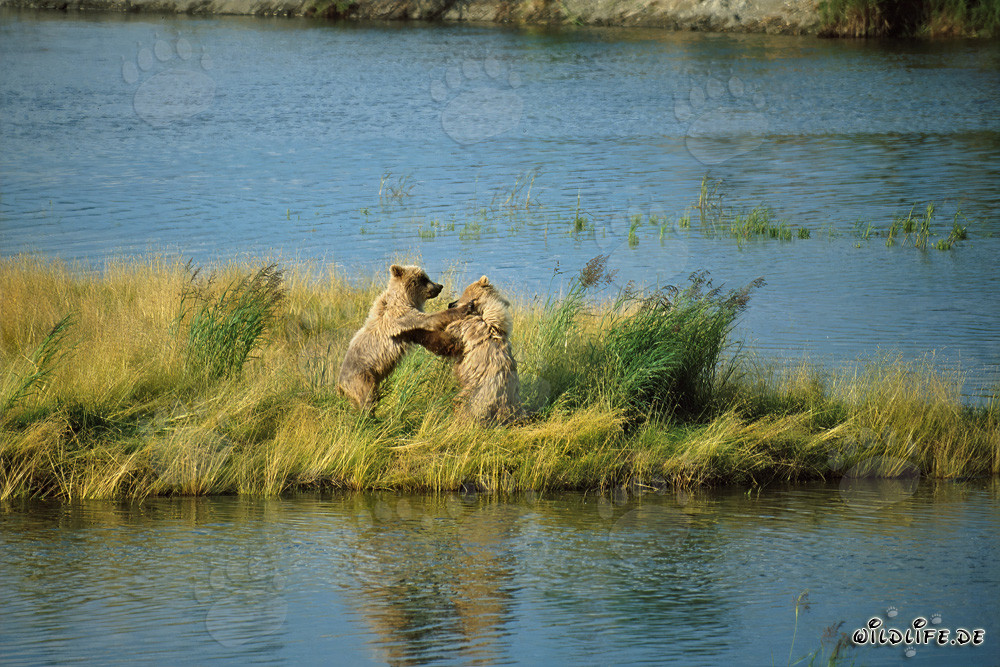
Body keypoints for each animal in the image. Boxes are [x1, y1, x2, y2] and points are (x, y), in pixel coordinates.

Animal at [336, 264, 473, 411]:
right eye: (425, 278)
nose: (439, 286)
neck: (405, 298)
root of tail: (340, 385)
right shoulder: (402, 317)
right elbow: (431, 319)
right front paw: (465, 307)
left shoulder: (410, 329)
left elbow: (432, 338)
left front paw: (452, 342)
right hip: (361, 378)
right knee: (367, 399)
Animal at [402, 275, 521, 425]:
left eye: (461, 296)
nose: (450, 303)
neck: (481, 312)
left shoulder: (465, 330)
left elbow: (446, 343)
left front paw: (414, 330)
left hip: (475, 394)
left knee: (461, 403)